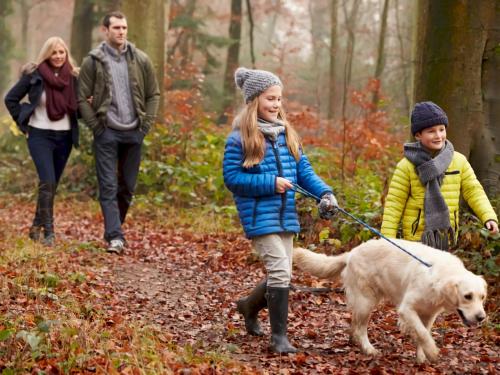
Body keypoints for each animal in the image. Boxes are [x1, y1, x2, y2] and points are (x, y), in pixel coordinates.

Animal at [294, 238, 486, 364]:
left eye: (482, 297)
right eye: (467, 296)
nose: (481, 318)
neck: (437, 276)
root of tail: (352, 253)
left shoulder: (429, 314)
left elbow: (423, 334)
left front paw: (421, 357)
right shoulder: (406, 309)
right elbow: (422, 333)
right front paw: (432, 352)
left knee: (354, 325)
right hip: (366, 302)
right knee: (360, 328)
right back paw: (369, 349)